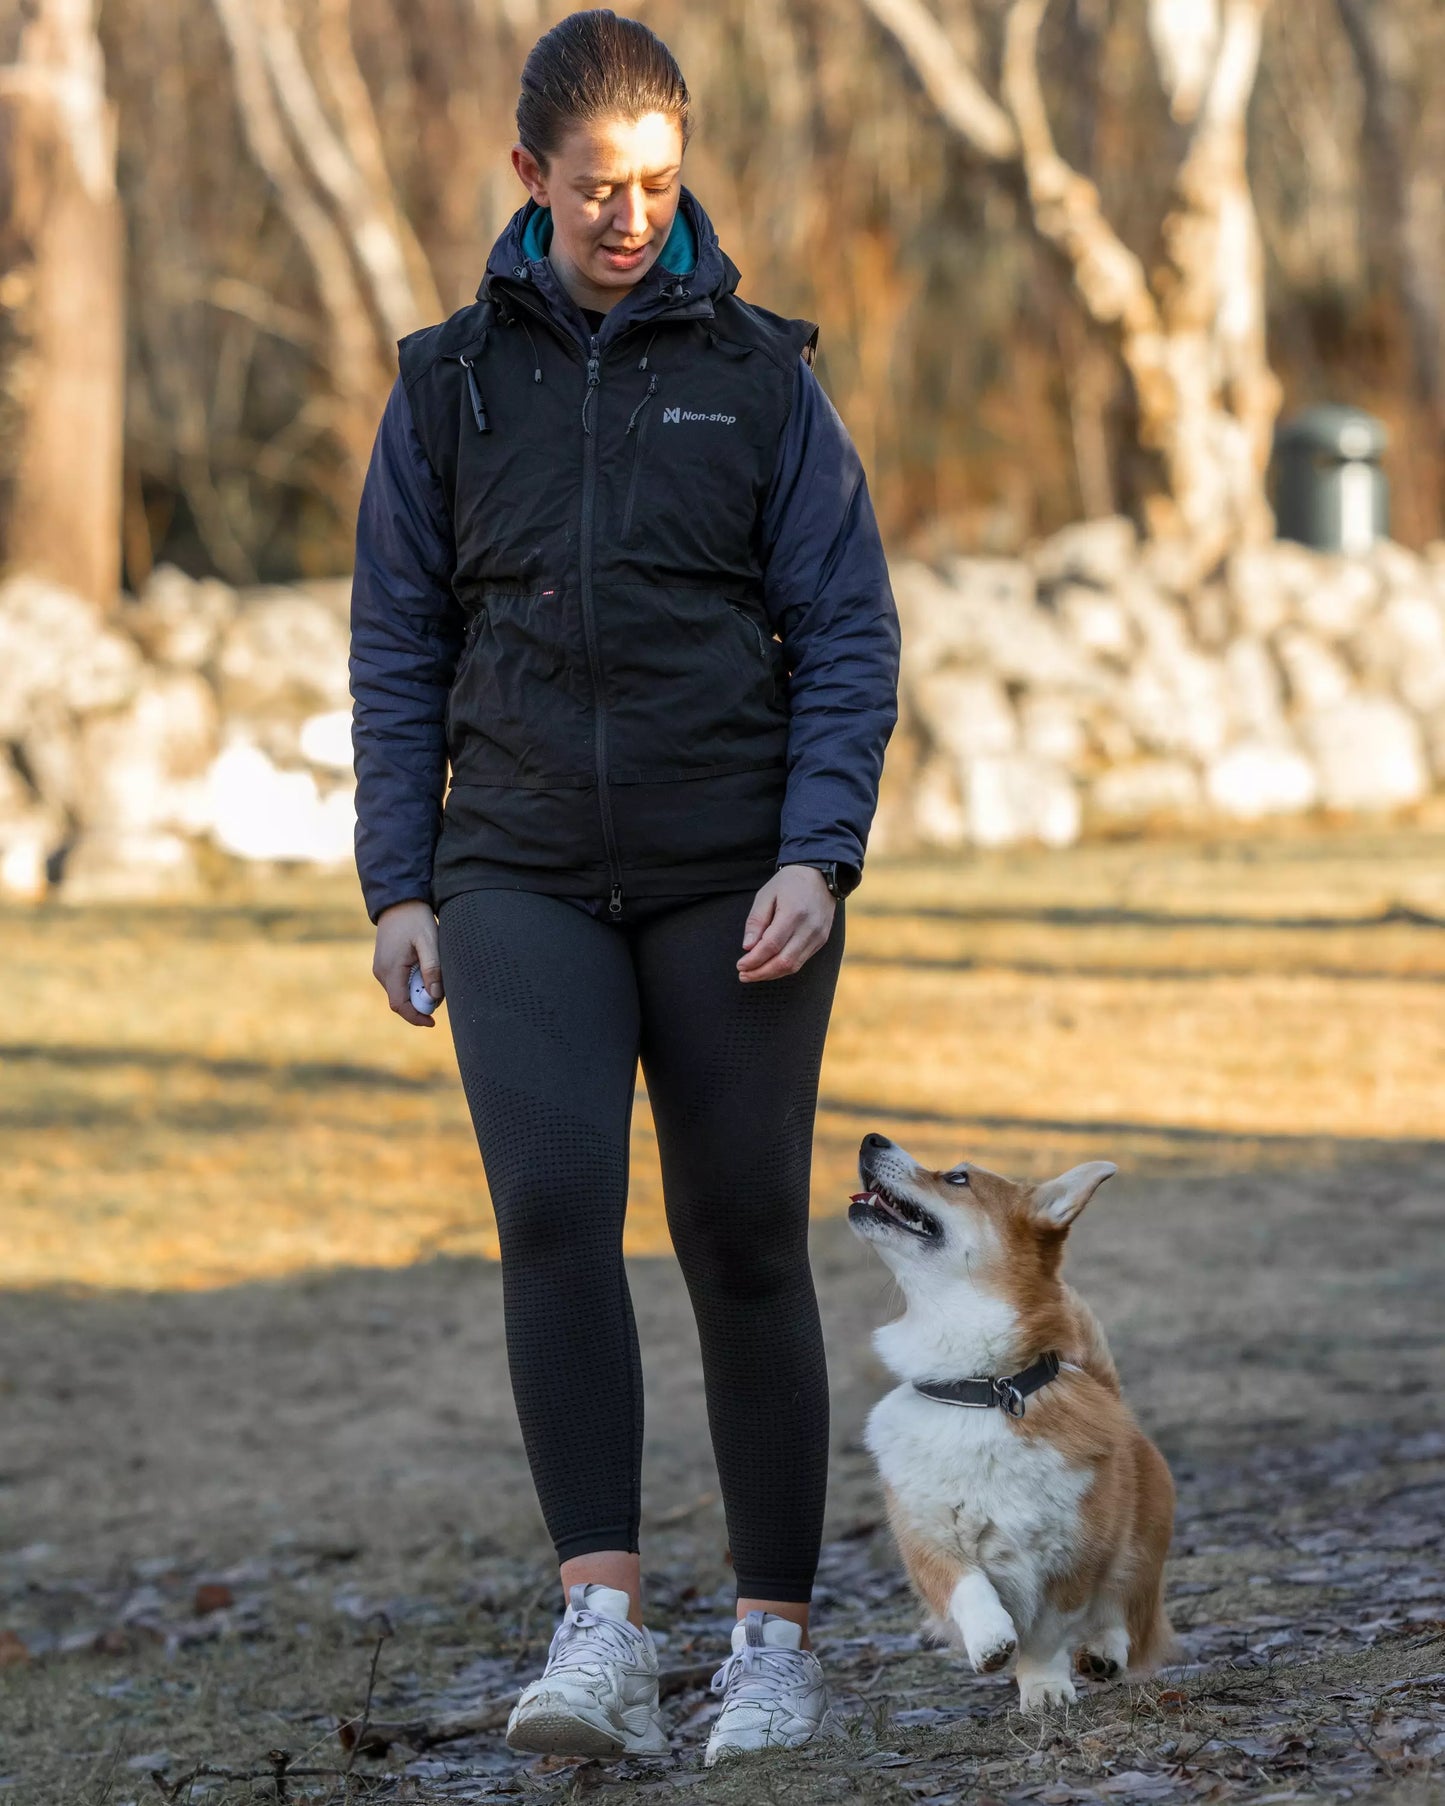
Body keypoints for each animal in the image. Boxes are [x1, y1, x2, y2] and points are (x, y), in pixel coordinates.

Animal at [845, 1134, 1170, 1712]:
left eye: (958, 1177)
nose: (870, 1139)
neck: (981, 1390)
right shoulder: (927, 1540)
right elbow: (967, 1585)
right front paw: (991, 1640)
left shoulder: (1073, 1558)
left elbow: (1047, 1632)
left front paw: (1043, 1687)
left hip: (1143, 1546)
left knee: (1122, 1603)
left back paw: (1104, 1650)